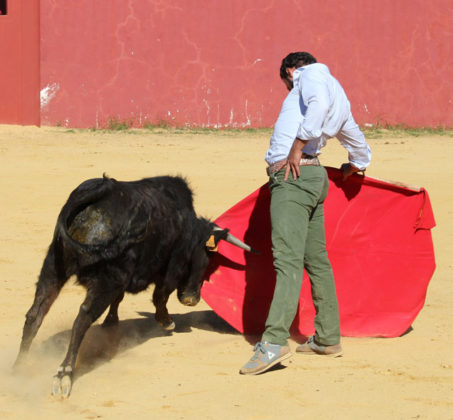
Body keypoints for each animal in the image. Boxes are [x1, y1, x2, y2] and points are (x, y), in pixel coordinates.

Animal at [14, 174, 256, 398]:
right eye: (207, 259)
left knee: (35, 313)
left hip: (53, 266)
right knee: (82, 318)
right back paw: (64, 375)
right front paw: (166, 322)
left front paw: (111, 322)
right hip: (105, 280)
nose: (192, 299)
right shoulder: (172, 267)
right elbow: (160, 295)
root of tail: (100, 191)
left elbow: (120, 299)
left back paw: (19, 367)